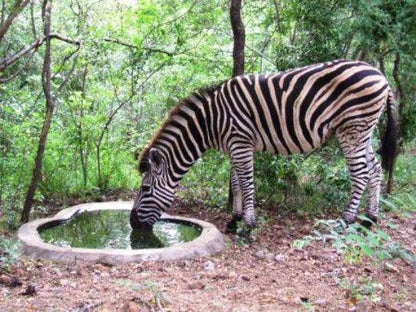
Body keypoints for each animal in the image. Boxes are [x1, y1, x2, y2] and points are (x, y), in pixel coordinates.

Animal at [130, 59, 396, 234]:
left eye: (145, 189)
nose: (132, 223)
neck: (211, 122)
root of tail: (380, 75)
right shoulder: (234, 146)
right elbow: (236, 183)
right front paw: (234, 220)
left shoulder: (240, 142)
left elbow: (247, 182)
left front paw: (248, 225)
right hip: (363, 131)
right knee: (375, 169)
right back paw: (370, 218)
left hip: (352, 128)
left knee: (360, 173)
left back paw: (346, 220)